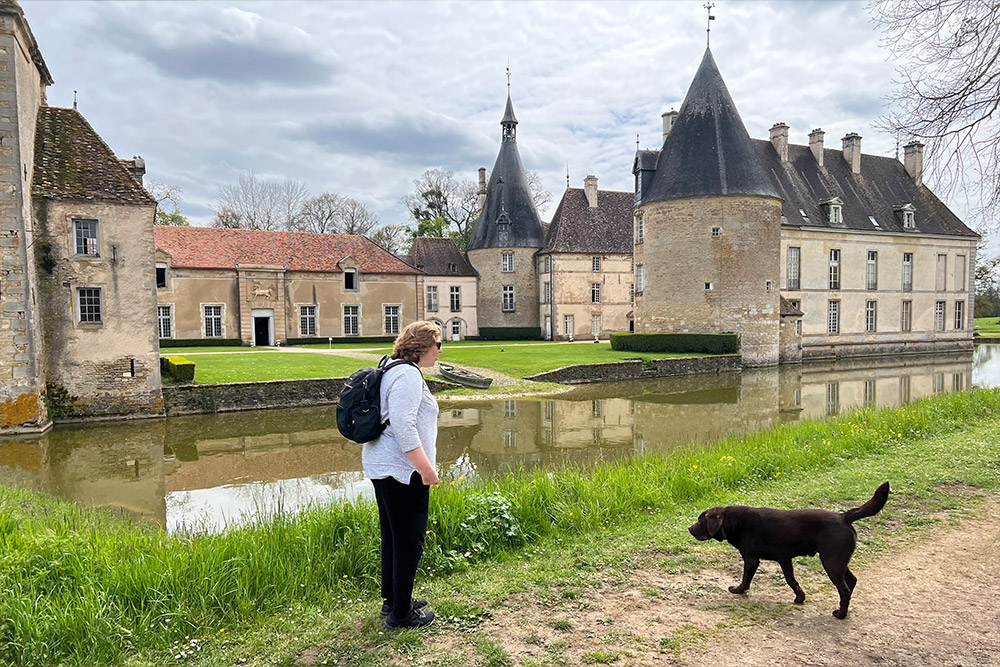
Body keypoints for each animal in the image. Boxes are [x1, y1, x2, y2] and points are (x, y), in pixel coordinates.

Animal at [688, 482, 892, 620]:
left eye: (700, 520)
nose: (689, 529)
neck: (734, 522)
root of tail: (844, 517)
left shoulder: (751, 559)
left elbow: (746, 578)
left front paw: (738, 590)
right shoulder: (784, 560)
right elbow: (791, 580)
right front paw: (800, 597)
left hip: (831, 562)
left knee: (844, 589)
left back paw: (841, 613)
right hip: (838, 561)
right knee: (852, 581)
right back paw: (845, 608)